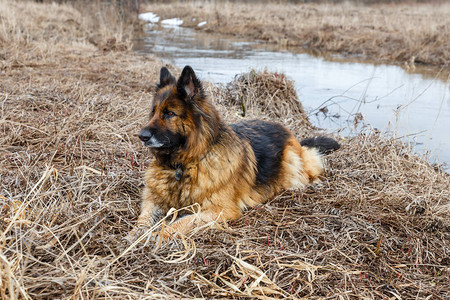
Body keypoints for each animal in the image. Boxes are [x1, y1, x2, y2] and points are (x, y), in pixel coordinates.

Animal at [132, 65, 340, 239]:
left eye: (169, 114)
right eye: (153, 112)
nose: (141, 136)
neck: (186, 163)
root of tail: (283, 127)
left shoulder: (219, 209)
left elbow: (181, 222)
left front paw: (159, 234)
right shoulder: (152, 200)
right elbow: (143, 218)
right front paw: (135, 235)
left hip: (293, 165)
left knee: (312, 163)